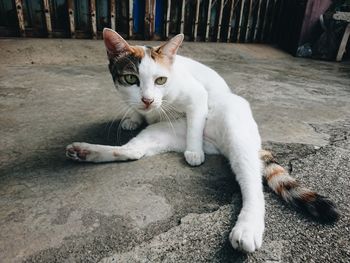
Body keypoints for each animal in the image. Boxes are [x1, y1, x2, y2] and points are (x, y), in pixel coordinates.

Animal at [65, 28, 340, 254]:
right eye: (131, 79)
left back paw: (248, 226)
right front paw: (133, 117)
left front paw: (194, 152)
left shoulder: (197, 96)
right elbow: (135, 111)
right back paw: (85, 151)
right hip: (162, 132)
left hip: (234, 125)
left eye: (160, 80)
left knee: (251, 183)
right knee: (133, 151)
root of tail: (216, 145)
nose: (147, 100)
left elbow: (196, 121)